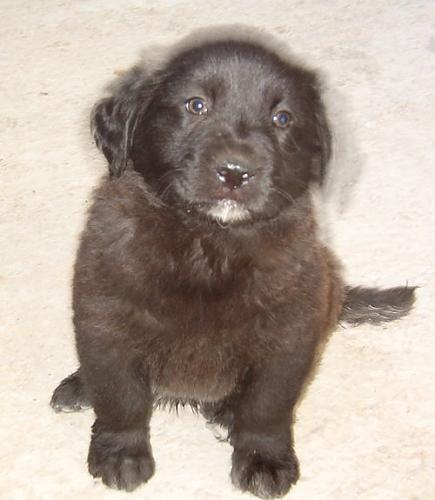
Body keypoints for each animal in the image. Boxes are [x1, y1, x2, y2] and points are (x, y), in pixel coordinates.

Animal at [51, 33, 416, 498]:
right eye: (196, 105)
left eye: (282, 118)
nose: (235, 172)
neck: (209, 244)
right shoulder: (105, 317)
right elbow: (121, 396)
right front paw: (121, 453)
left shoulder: (288, 338)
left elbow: (266, 409)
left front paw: (263, 459)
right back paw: (81, 385)